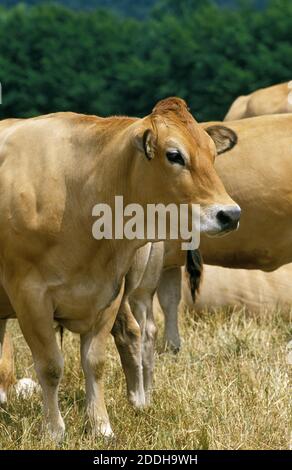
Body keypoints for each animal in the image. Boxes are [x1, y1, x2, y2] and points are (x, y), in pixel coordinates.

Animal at [0, 97, 240, 438]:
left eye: (212, 153)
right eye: (174, 155)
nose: (230, 214)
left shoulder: (109, 294)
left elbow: (95, 362)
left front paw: (101, 426)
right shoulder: (29, 296)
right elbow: (50, 366)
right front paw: (54, 430)